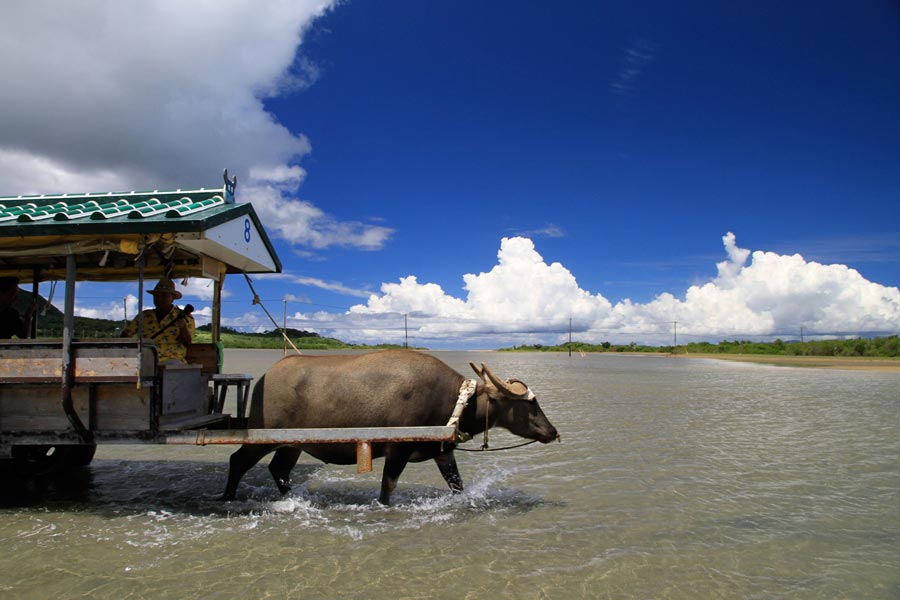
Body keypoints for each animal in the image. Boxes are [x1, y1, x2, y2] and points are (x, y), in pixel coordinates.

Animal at [221, 350, 556, 504]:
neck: (454, 402)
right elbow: (387, 488)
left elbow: (456, 483)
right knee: (237, 460)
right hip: (262, 437)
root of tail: (265, 377)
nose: (552, 431)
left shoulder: (441, 450)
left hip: (292, 445)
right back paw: (226, 497)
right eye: (530, 405)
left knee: (279, 470)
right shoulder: (398, 450)